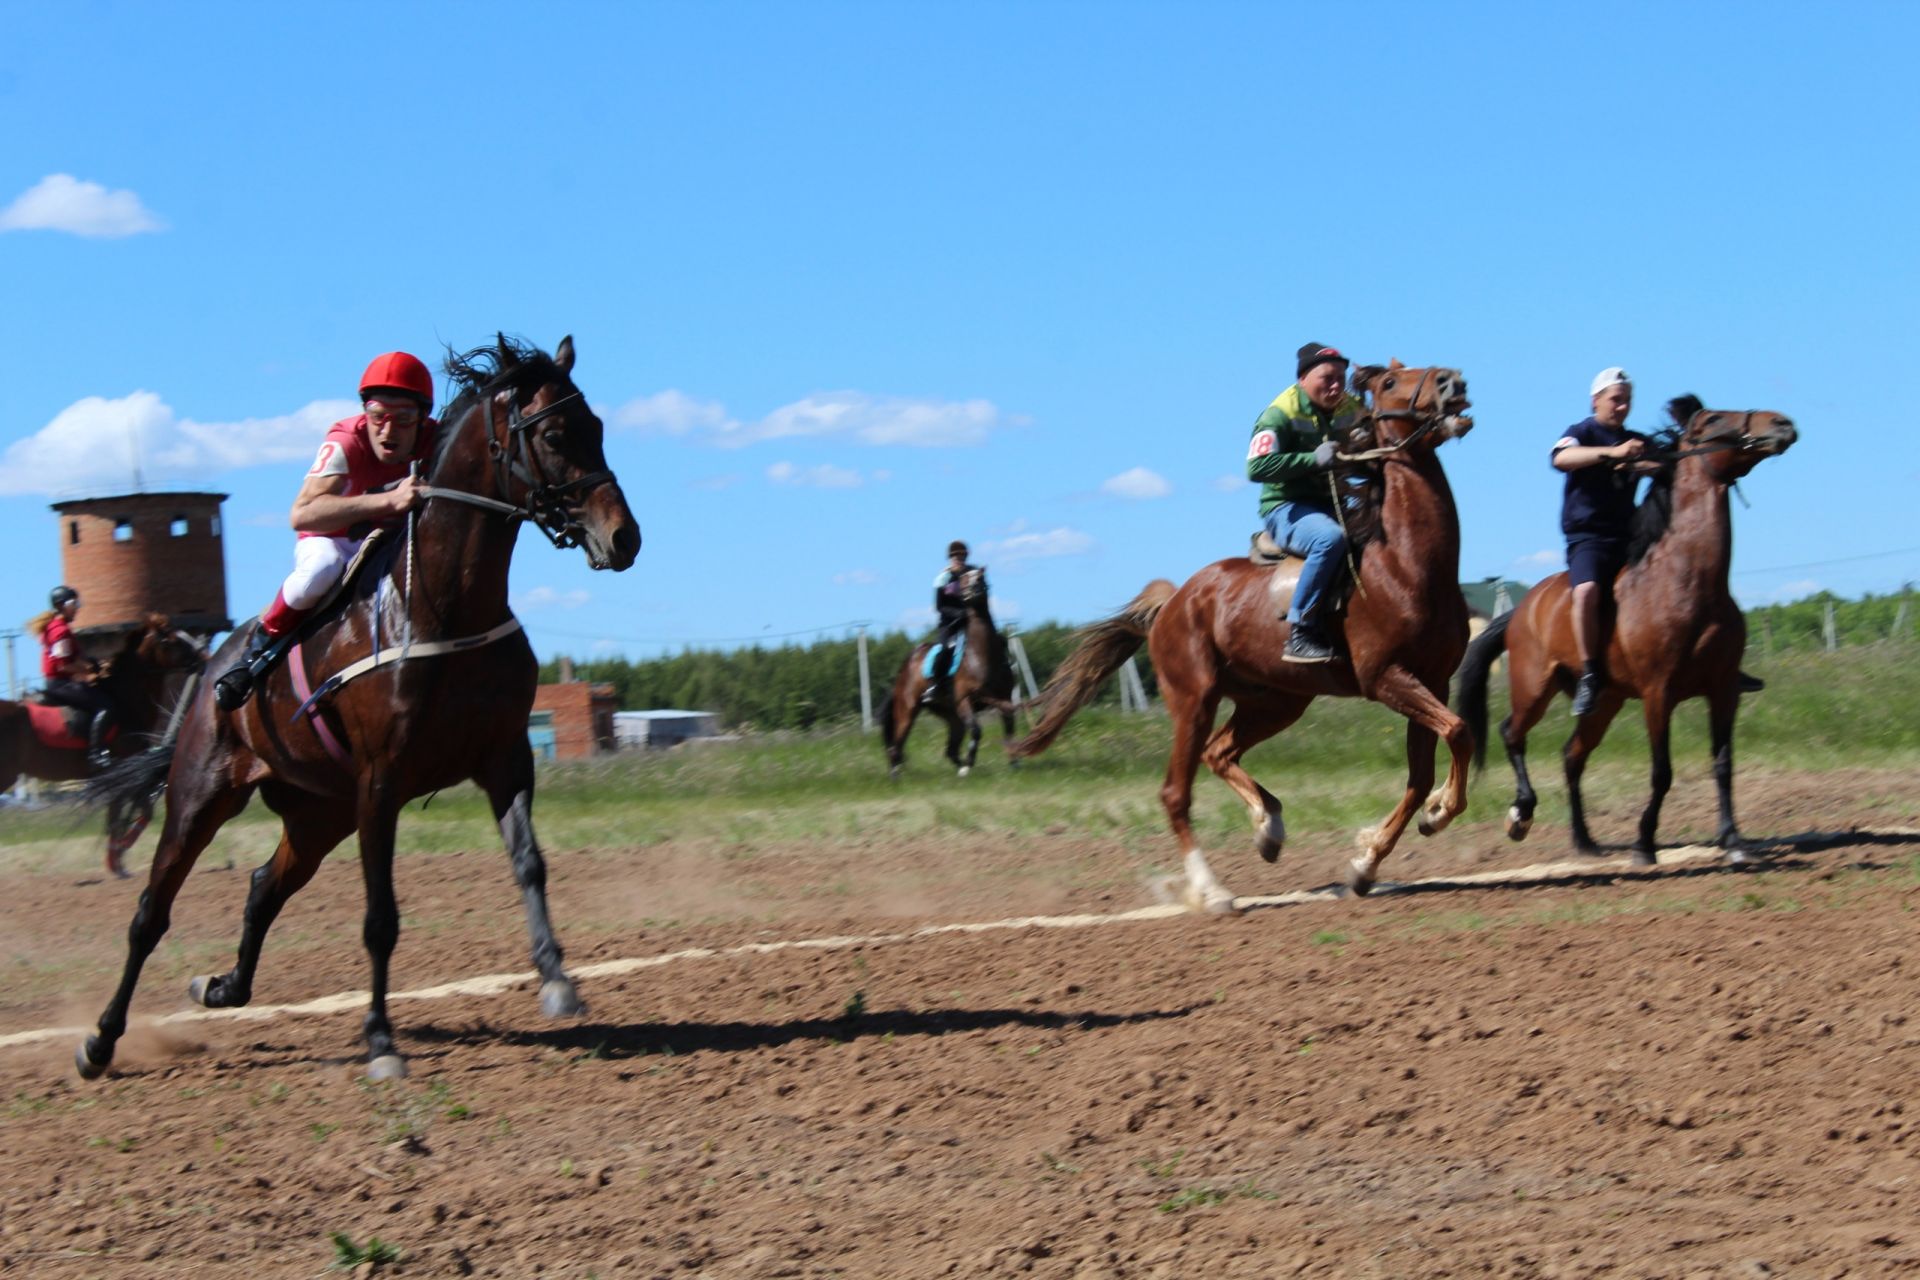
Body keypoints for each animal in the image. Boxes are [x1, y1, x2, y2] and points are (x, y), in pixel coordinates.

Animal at [0, 614, 205, 875]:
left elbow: (130, 814)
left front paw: (116, 859)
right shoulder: (123, 771)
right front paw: (119, 857)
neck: (126, 700)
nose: (204, 656)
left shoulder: (124, 776)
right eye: (170, 639)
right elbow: (126, 815)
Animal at [78, 337, 641, 1082]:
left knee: (263, 886)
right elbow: (381, 917)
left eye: (598, 427)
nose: (624, 537)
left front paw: (556, 979)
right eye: (553, 435)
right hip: (202, 795)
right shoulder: (382, 780)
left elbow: (529, 863)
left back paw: (222, 987)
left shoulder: (504, 758)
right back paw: (100, 1040)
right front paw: (379, 1039)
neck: (444, 604)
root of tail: (205, 680)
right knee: (150, 912)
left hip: (320, 813)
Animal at [879, 571, 1029, 782]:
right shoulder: (964, 700)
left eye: (980, 577)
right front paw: (969, 764)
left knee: (950, 750)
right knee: (896, 745)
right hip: (907, 711)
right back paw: (896, 778)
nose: (973, 590)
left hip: (952, 716)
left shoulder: (1004, 699)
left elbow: (1009, 729)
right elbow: (976, 730)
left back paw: (961, 769)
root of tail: (905, 666)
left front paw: (1014, 763)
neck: (981, 655)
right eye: (964, 580)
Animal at [1013, 360, 1474, 901]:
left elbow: (1422, 772)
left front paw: (1370, 859)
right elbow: (1459, 731)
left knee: (1219, 752)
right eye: (1387, 383)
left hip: (1275, 702)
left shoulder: (1431, 681)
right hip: (1195, 700)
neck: (1406, 565)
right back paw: (1213, 891)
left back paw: (1268, 827)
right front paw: (1436, 813)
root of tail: (1174, 601)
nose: (1453, 381)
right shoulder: (1385, 678)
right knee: (1176, 792)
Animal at [1451, 402, 1797, 859]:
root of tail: (1523, 610)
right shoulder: (1658, 693)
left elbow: (1723, 764)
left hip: (1606, 702)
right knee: (1512, 733)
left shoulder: (1723, 690)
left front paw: (1734, 840)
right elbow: (1662, 771)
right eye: (1712, 419)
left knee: (1572, 755)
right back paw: (1521, 813)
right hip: (1534, 688)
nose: (1782, 424)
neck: (1689, 583)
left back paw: (1584, 841)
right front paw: (1645, 842)